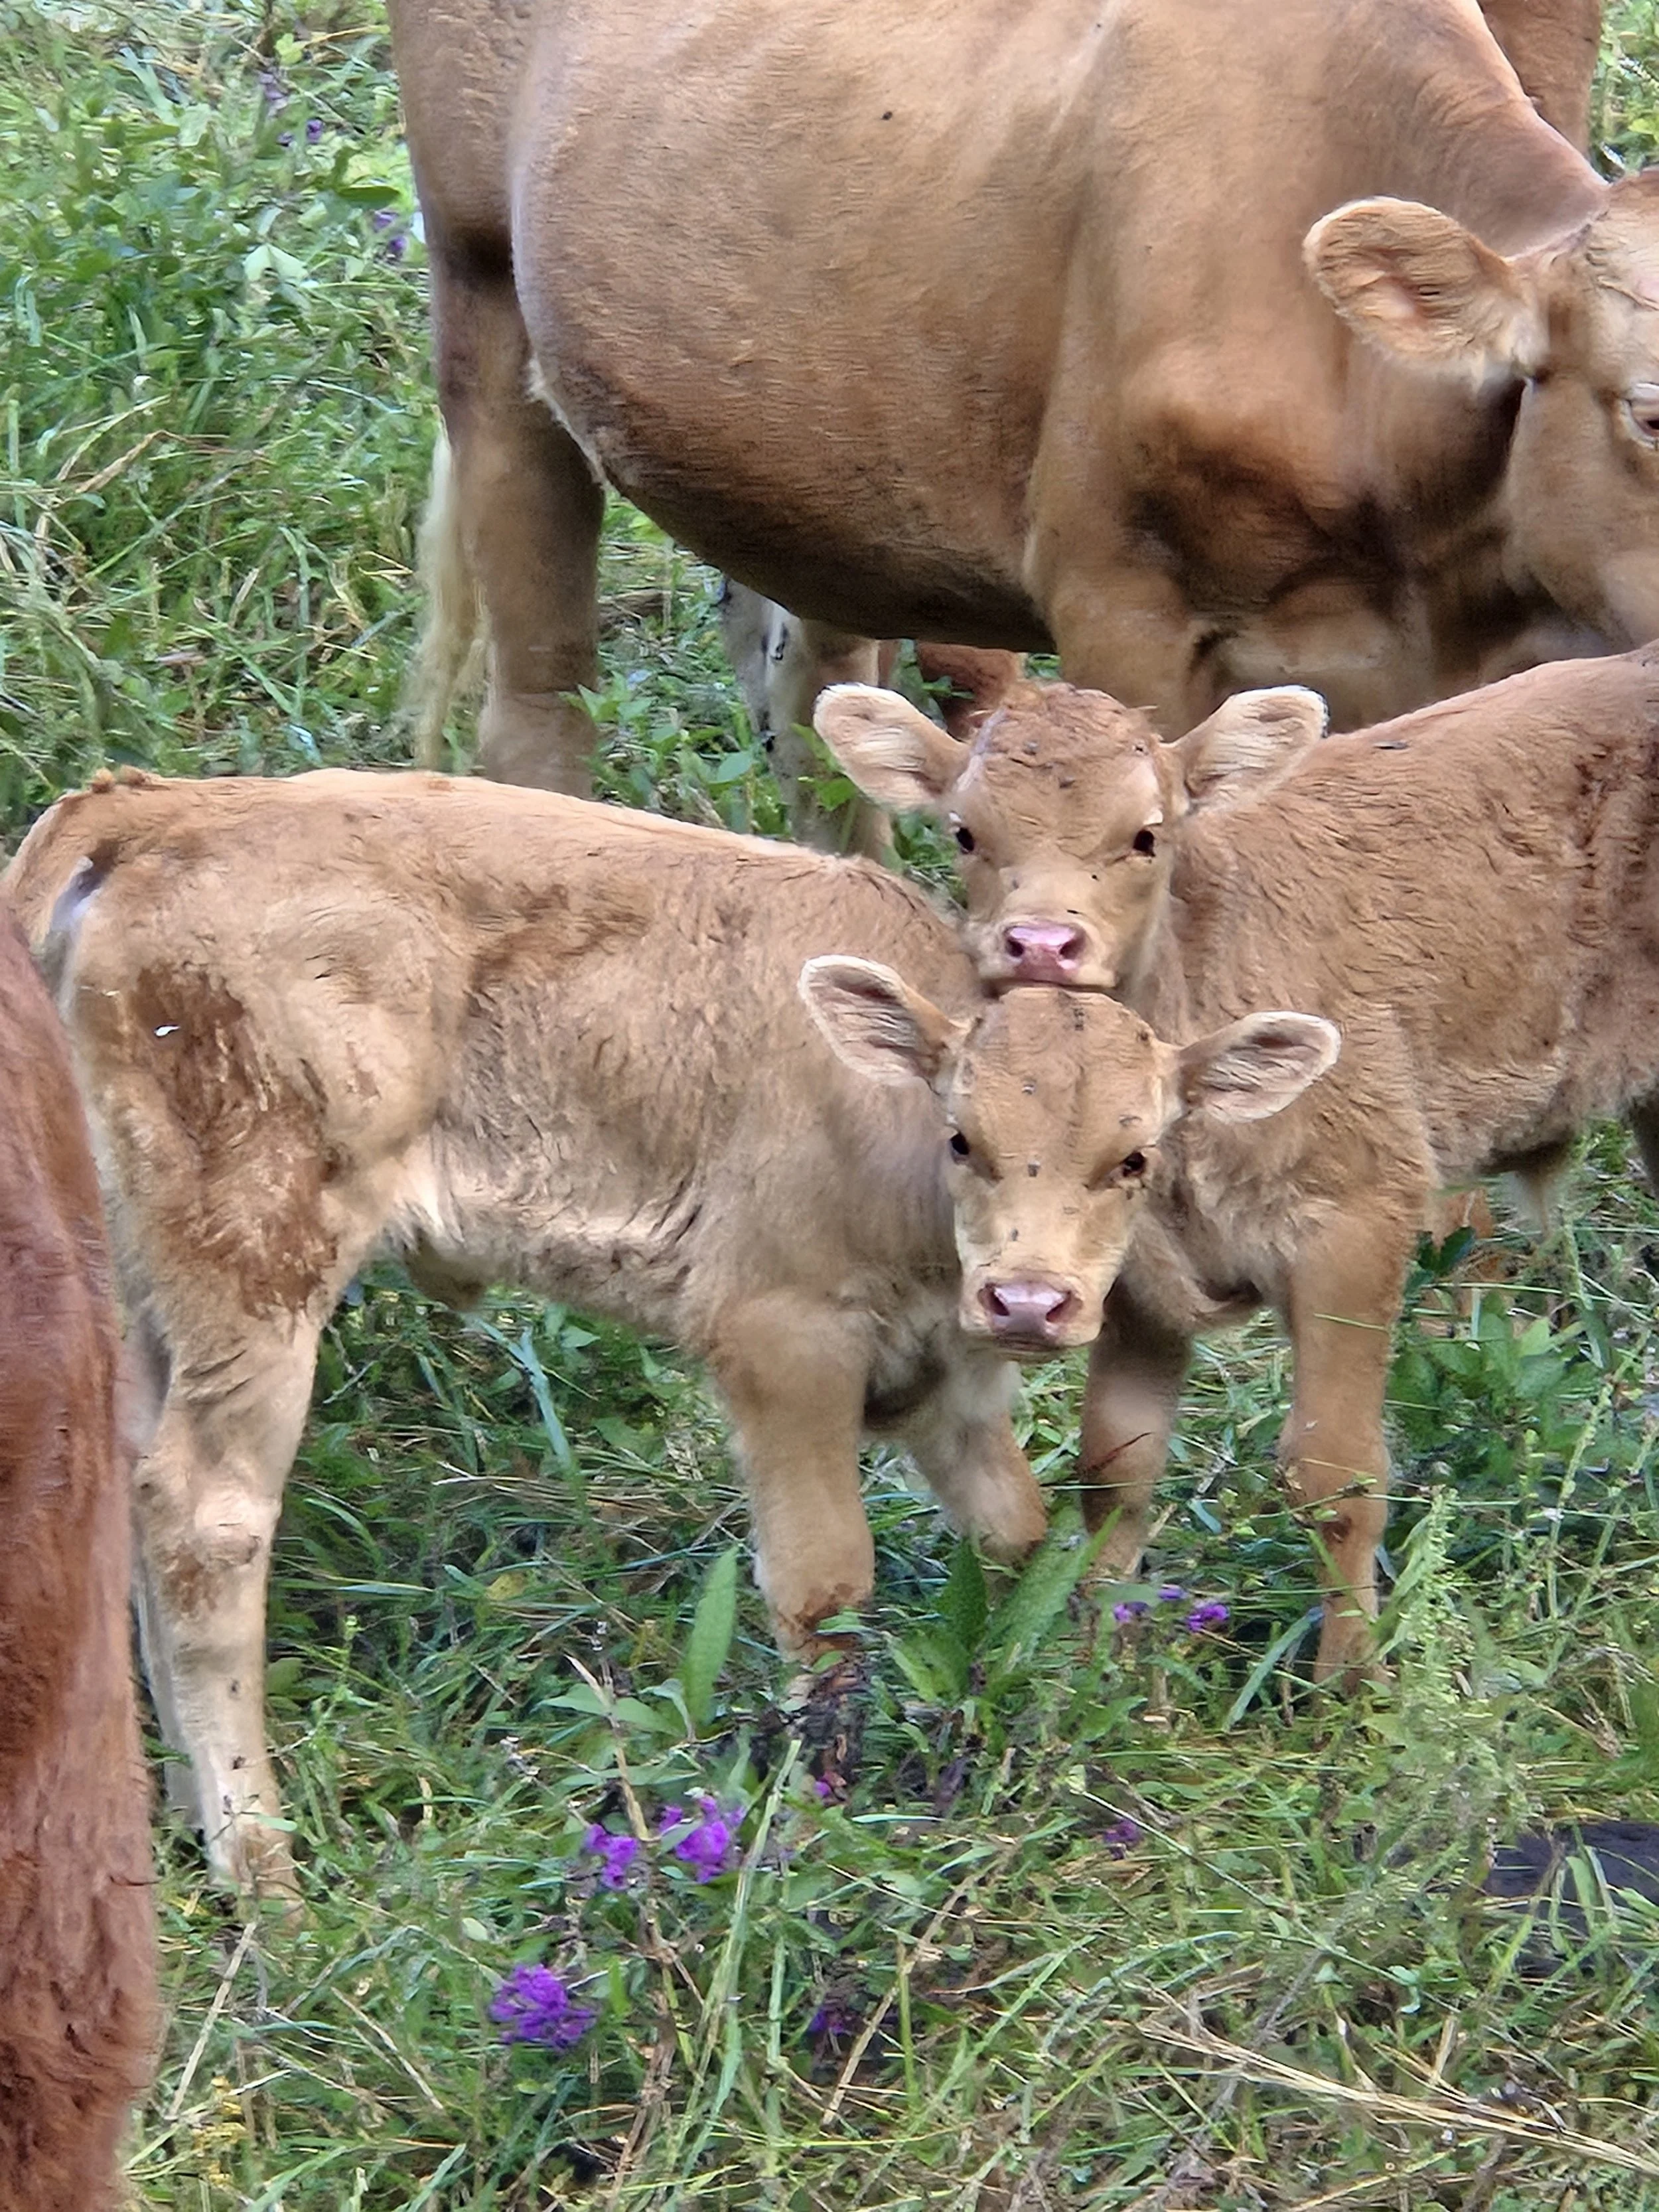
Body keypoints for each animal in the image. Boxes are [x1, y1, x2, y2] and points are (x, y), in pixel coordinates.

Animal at [2, 767, 1066, 1898]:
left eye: (1122, 1155)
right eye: (967, 1138)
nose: (1035, 1297)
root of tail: (156, 806)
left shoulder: (943, 1376)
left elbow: (1016, 1527)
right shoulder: (786, 1339)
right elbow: (825, 1581)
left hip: (144, 1281)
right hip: (256, 1260)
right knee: (206, 1515)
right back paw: (262, 1872)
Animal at [807, 647, 1659, 1684]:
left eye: (1147, 834)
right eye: (966, 831)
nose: (1043, 943)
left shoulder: (1354, 1222)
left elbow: (1334, 1472)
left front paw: (1348, 1686)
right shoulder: (1128, 1275)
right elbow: (1116, 1465)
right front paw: (1104, 1663)